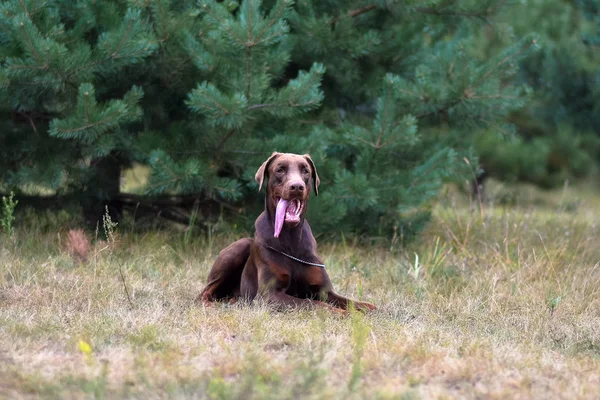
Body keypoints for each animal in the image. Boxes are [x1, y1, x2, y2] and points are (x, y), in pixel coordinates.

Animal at [197, 152, 376, 312]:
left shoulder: (324, 291)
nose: (296, 186)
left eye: (305, 171)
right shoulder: (270, 295)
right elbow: (314, 304)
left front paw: (369, 308)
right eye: (280, 170)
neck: (291, 238)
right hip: (240, 246)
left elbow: (352, 302)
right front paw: (341, 313)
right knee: (204, 293)